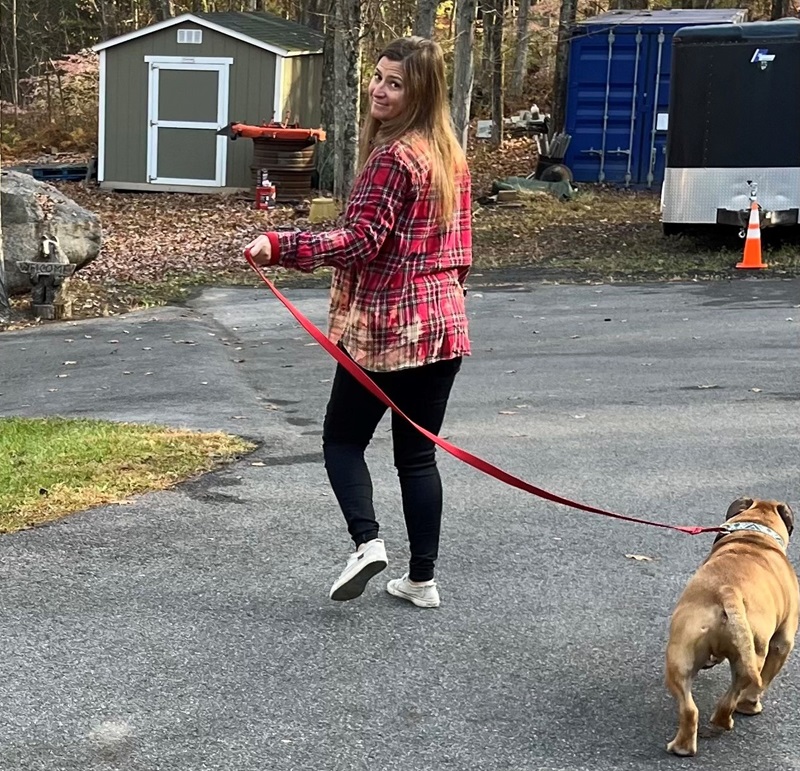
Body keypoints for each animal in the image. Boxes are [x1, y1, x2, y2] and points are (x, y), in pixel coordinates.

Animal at [664, 498, 796, 756]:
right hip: (753, 654)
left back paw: (683, 746)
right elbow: (765, 680)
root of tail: (727, 590)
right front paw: (751, 704)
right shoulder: (783, 642)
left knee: (691, 708)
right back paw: (733, 715)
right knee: (736, 694)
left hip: (680, 654)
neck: (754, 535)